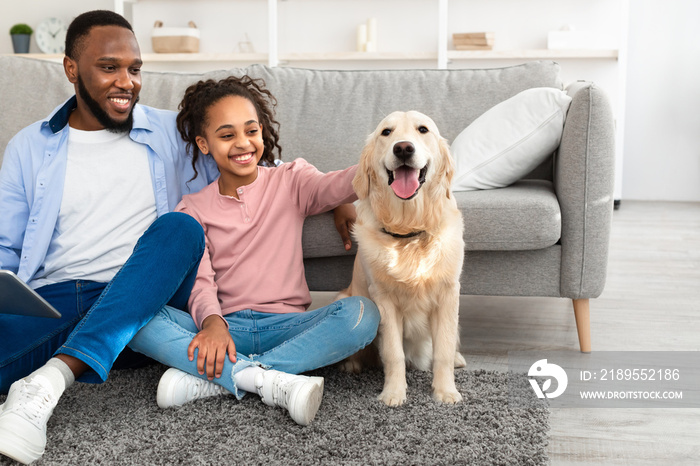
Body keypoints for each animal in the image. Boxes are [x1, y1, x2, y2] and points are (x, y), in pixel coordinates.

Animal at [338, 111, 464, 406]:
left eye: (423, 129)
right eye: (386, 132)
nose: (404, 148)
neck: (409, 231)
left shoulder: (449, 294)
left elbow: (443, 350)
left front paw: (445, 391)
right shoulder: (384, 299)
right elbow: (393, 353)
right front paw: (394, 393)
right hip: (345, 296)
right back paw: (352, 364)